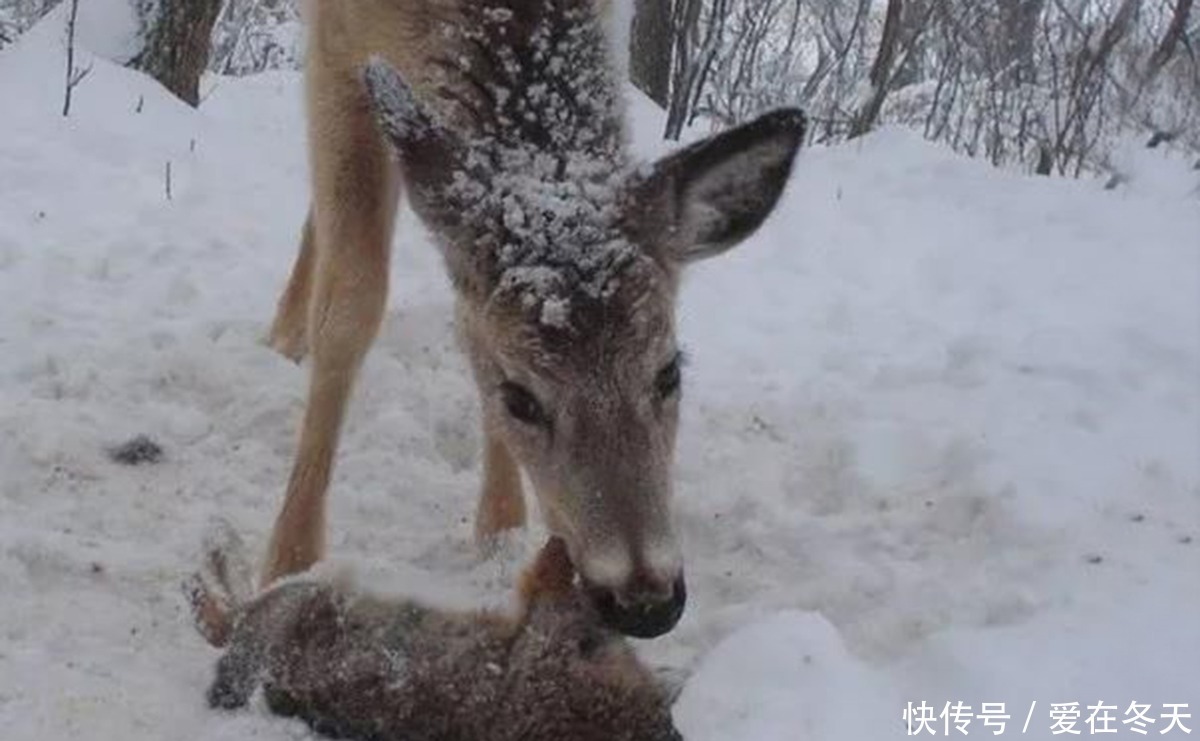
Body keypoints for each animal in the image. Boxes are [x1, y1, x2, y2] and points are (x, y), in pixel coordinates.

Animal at [262, 0, 806, 633]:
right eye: (521, 398)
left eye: (670, 372)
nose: (645, 601)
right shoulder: (336, 45)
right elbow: (353, 305)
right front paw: (287, 563)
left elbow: (468, 317)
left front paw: (501, 535)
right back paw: (286, 333)